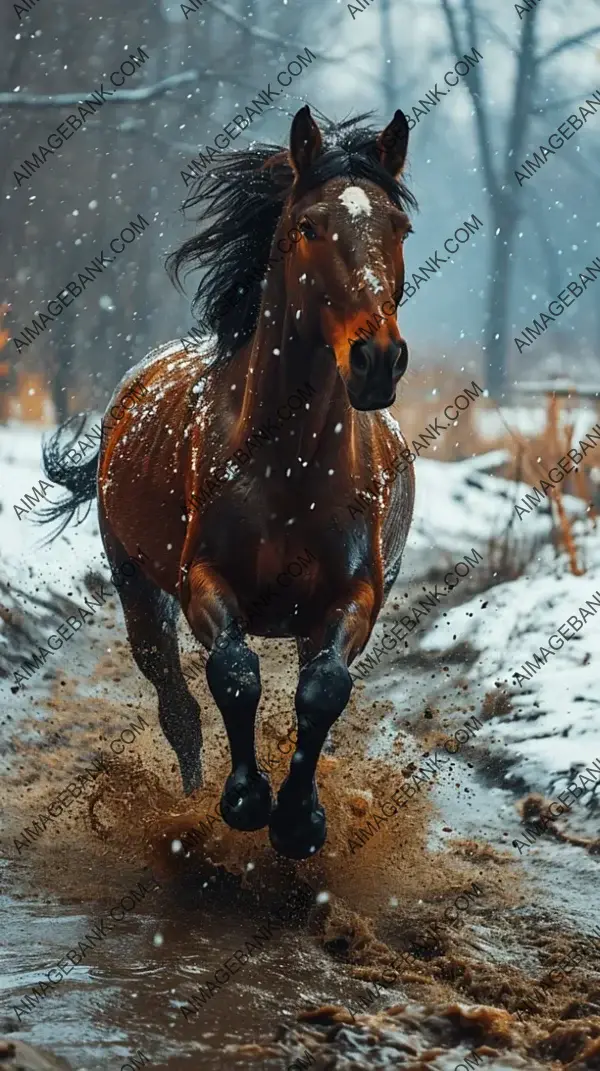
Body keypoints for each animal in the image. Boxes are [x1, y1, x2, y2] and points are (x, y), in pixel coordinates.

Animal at [39, 106, 417, 861]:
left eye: (399, 227)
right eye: (309, 226)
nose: (377, 359)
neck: (290, 467)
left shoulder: (355, 594)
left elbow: (323, 690)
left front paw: (301, 821)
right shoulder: (202, 582)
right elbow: (235, 675)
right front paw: (245, 801)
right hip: (134, 582)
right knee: (176, 704)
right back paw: (189, 801)